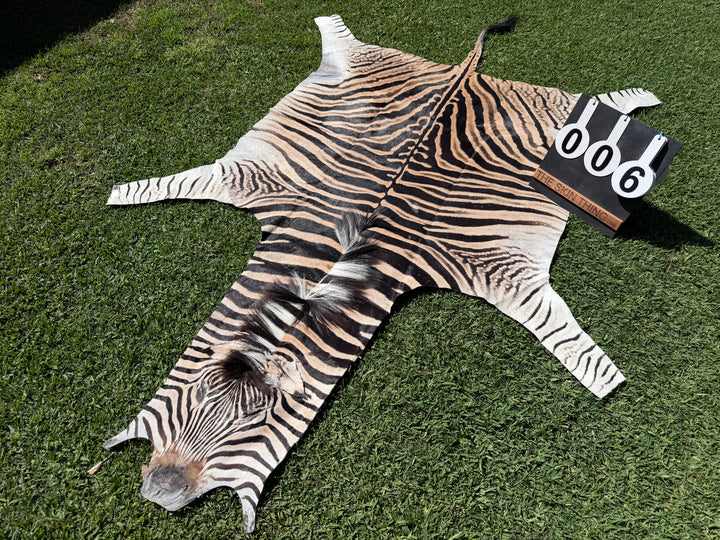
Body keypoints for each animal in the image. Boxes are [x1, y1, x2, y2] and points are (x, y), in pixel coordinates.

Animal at [103, 15, 661, 532]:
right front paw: (122, 193)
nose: (158, 493)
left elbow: (564, 335)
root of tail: (461, 74)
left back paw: (642, 97)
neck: (327, 266)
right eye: (194, 400)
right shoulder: (253, 180)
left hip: (555, 122)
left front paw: (606, 379)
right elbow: (174, 183)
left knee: (593, 102)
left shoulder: (499, 273)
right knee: (342, 40)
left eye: (256, 425)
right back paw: (328, 25)